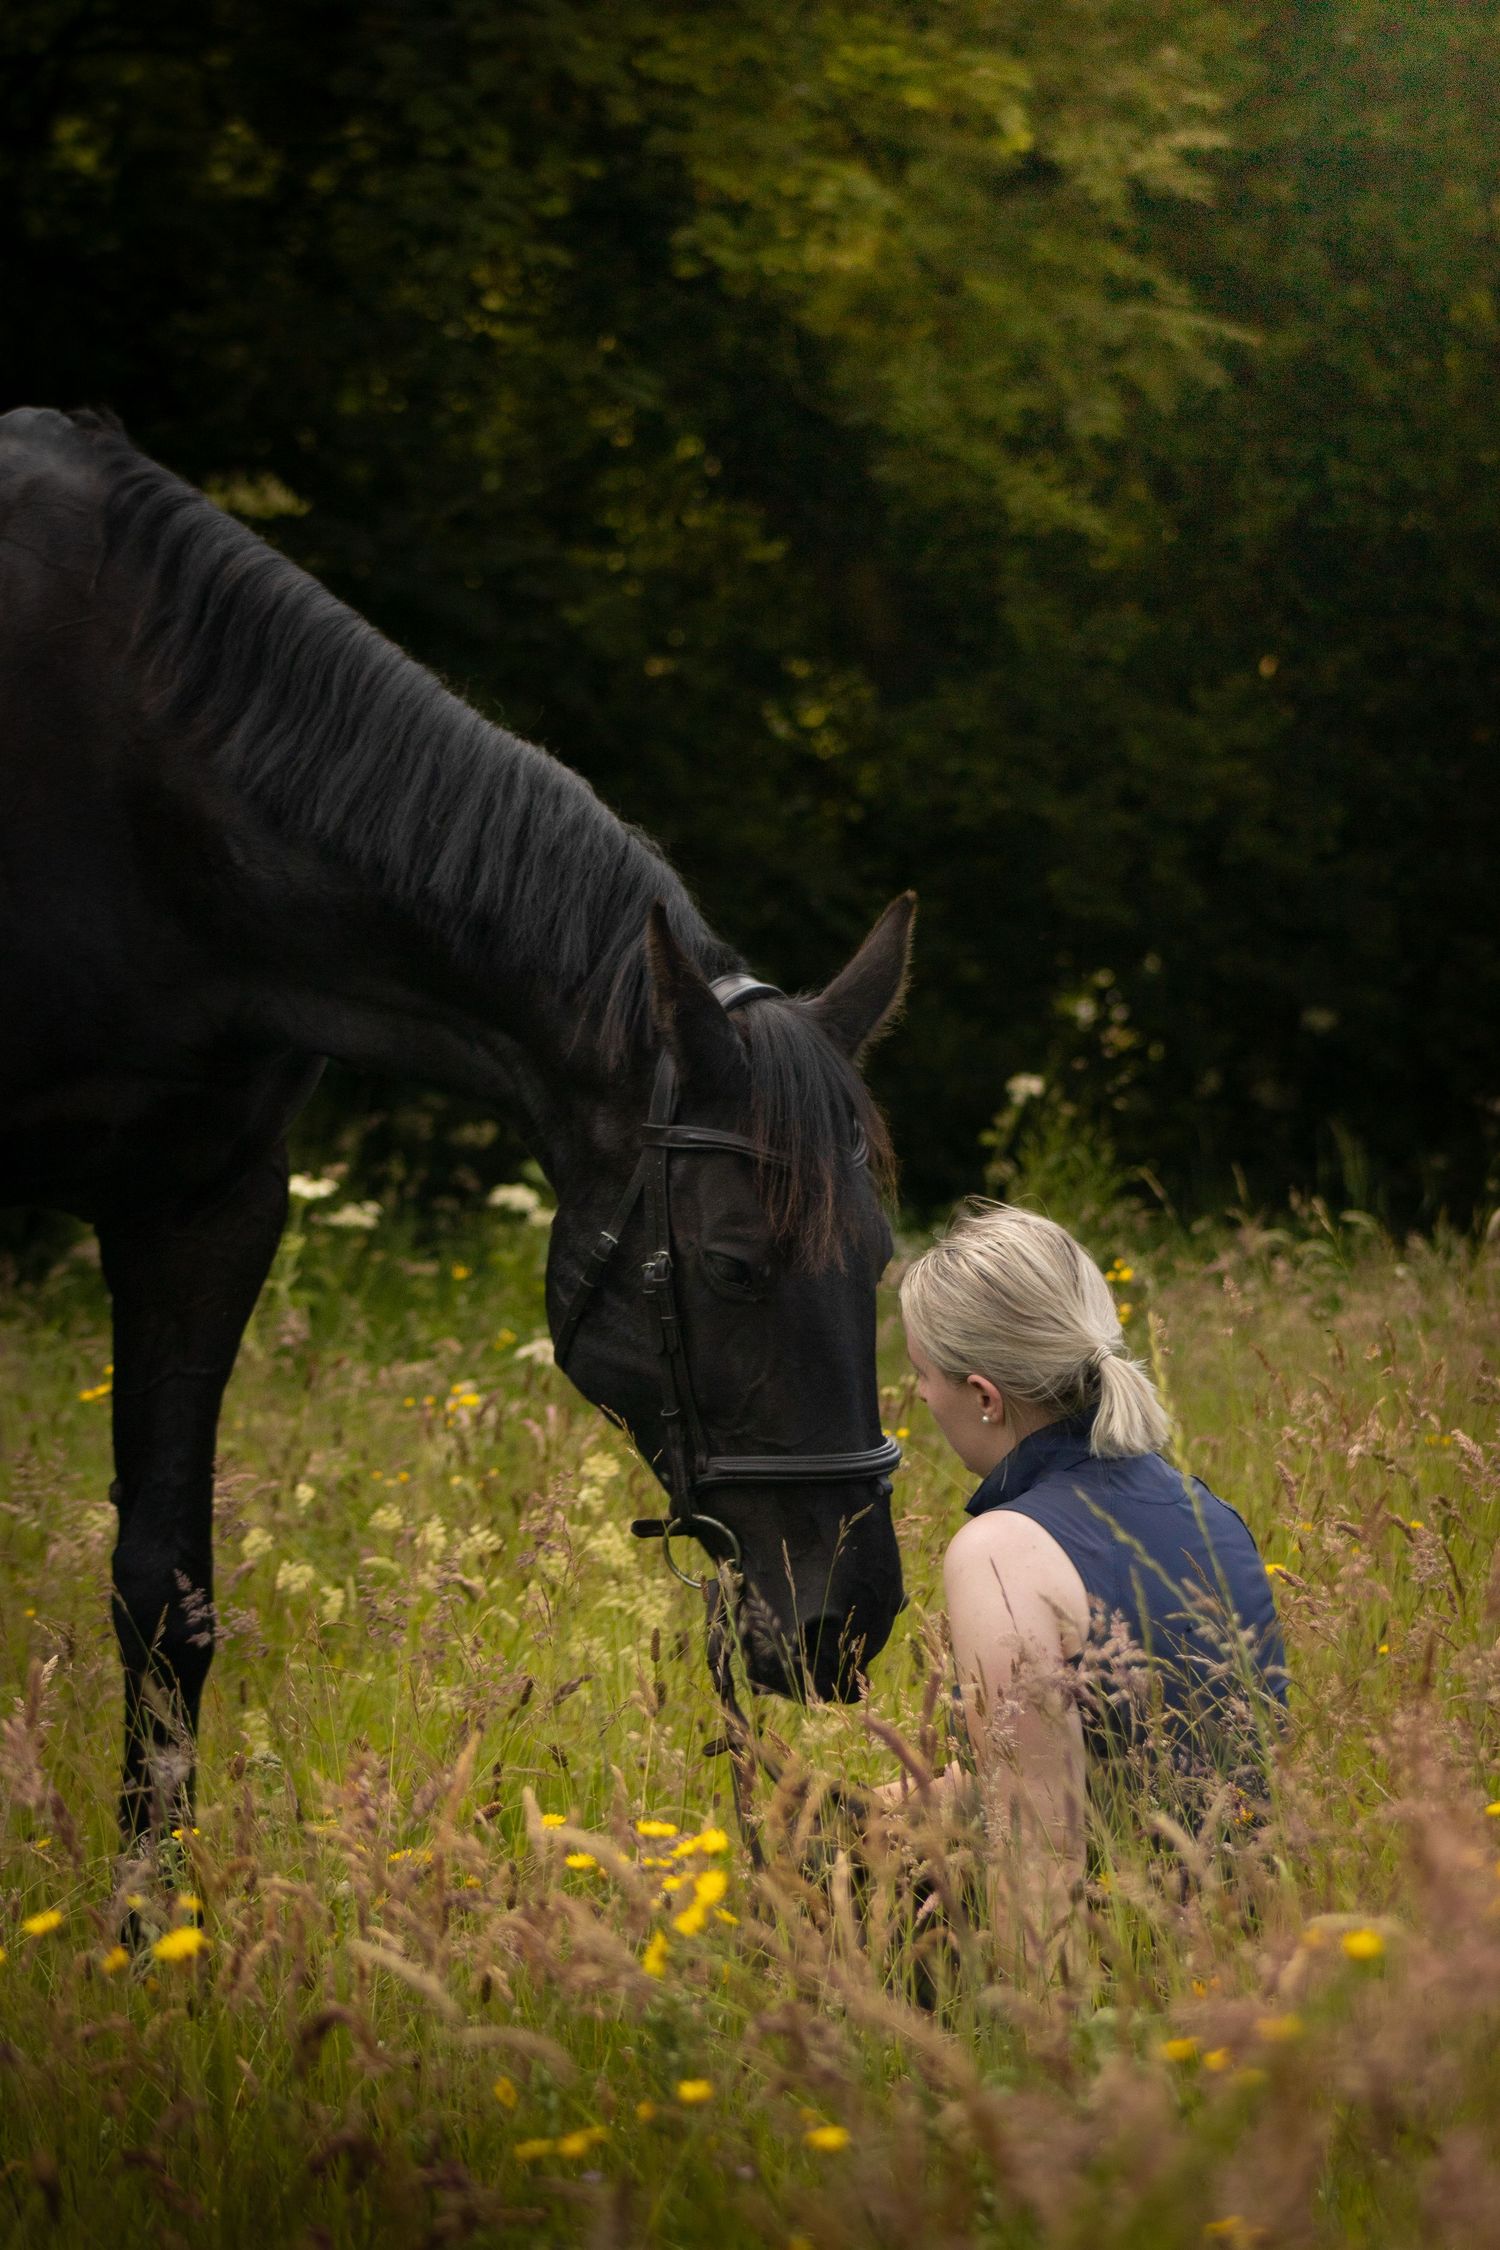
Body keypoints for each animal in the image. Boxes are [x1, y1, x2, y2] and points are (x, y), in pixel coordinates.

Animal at [0, 406, 913, 1845]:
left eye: (880, 1261)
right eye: (731, 1267)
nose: (848, 1621)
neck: (145, 793)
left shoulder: (203, 1207)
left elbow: (163, 1604)